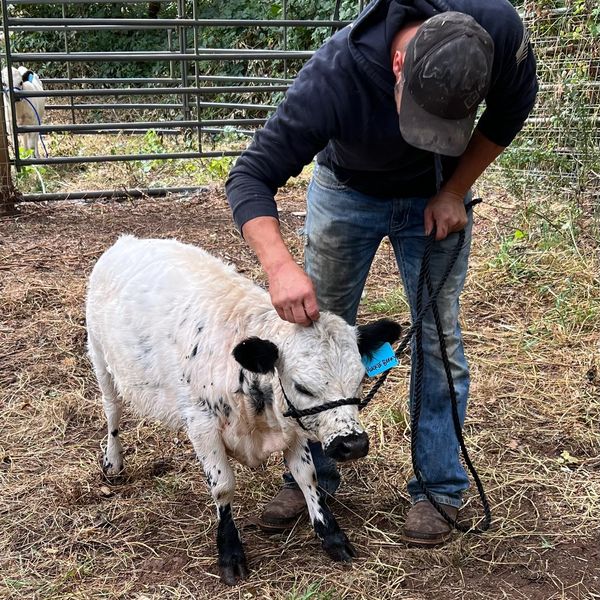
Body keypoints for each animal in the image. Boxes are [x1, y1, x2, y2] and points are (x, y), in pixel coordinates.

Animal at [84, 236, 400, 584]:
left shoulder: (292, 425)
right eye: (302, 386)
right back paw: (113, 461)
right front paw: (230, 552)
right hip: (101, 360)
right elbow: (223, 487)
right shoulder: (202, 425)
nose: (353, 444)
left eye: (359, 379)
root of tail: (127, 242)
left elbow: (307, 476)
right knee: (112, 412)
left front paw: (331, 535)